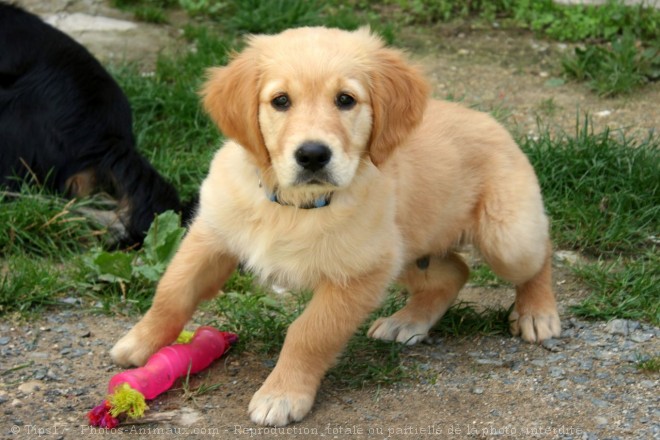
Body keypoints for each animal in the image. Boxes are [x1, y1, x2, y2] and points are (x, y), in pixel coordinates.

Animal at [111, 26, 560, 426]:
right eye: (280, 101)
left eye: (346, 100)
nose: (312, 155)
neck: (294, 205)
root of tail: (493, 121)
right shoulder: (212, 234)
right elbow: (172, 291)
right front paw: (139, 343)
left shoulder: (358, 273)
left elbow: (310, 333)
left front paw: (281, 395)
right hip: (406, 250)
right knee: (454, 270)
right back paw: (407, 322)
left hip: (506, 237)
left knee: (539, 253)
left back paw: (537, 314)